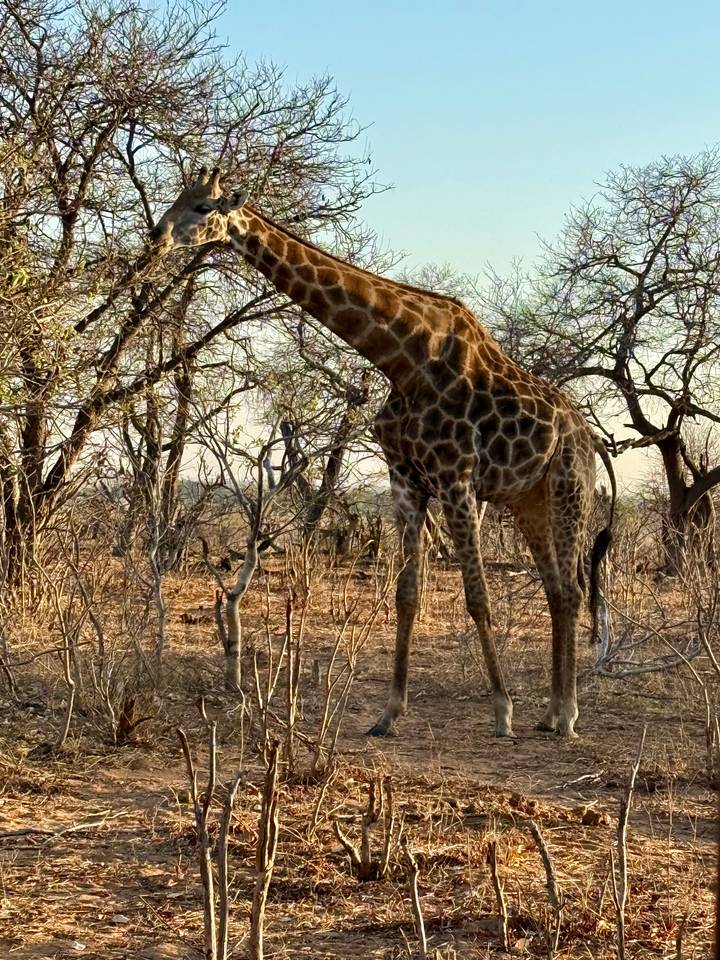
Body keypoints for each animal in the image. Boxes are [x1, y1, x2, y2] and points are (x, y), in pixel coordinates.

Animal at [150, 166, 616, 739]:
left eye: (202, 207)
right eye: (179, 197)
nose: (156, 234)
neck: (401, 357)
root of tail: (589, 436)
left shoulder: (456, 477)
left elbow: (477, 596)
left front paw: (502, 711)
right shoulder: (407, 479)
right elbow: (406, 595)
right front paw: (390, 713)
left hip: (569, 488)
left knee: (570, 589)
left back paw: (568, 714)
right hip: (527, 501)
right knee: (554, 589)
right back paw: (550, 712)